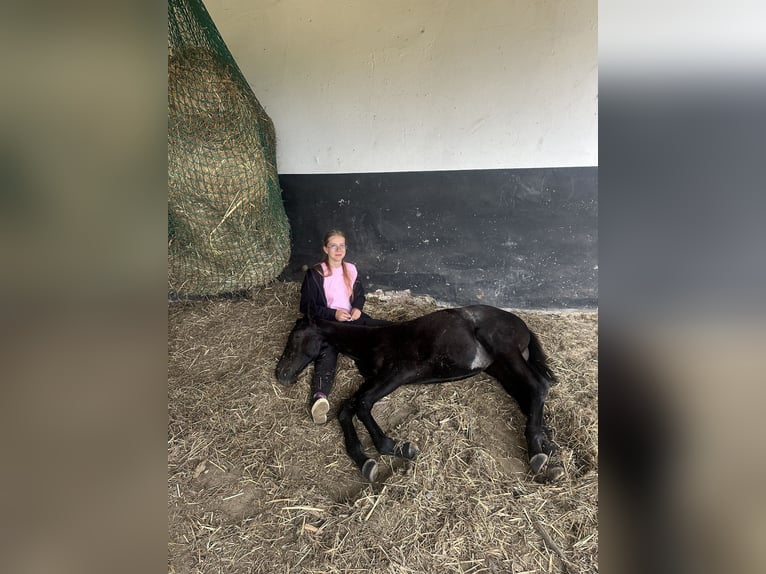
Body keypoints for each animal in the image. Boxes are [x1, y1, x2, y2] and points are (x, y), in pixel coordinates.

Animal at [275, 305, 563, 483]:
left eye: (295, 338)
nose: (281, 374)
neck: (372, 342)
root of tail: (522, 324)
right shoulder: (375, 379)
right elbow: (347, 408)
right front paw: (363, 460)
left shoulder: (398, 374)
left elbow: (362, 405)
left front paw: (396, 447)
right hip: (499, 367)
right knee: (527, 396)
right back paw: (547, 446)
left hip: (505, 350)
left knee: (538, 387)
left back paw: (537, 454)